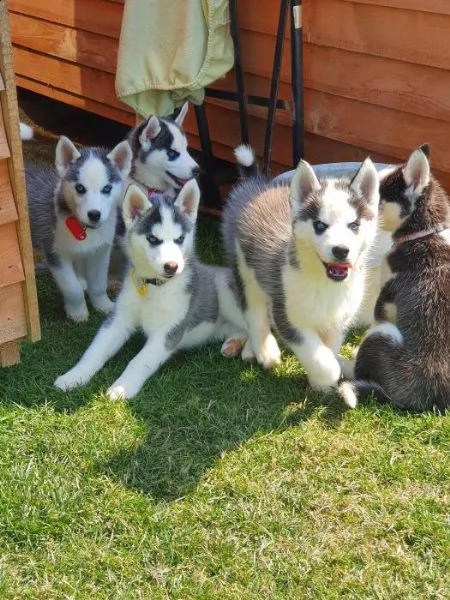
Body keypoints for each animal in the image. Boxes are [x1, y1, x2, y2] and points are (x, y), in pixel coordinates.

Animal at [25, 134, 132, 322]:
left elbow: (99, 284)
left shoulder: (100, 252)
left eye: (107, 188)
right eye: (80, 188)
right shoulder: (56, 254)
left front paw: (103, 305)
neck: (86, 230)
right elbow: (72, 288)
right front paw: (78, 312)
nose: (94, 214)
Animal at [55, 180, 250, 400]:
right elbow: (95, 350)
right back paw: (234, 344)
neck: (153, 287)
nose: (172, 266)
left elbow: (138, 361)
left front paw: (122, 388)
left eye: (180, 239)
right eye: (153, 239)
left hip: (225, 290)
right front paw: (74, 376)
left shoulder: (168, 332)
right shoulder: (118, 320)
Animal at [221, 146, 380, 394]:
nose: (341, 250)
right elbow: (325, 361)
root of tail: (256, 185)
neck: (324, 283)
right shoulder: (289, 317)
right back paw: (265, 350)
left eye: (354, 225)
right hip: (243, 267)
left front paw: (319, 381)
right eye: (320, 225)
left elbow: (329, 350)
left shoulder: (337, 321)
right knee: (253, 310)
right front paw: (325, 379)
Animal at [342, 144, 450, 412]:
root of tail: (429, 398)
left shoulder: (384, 303)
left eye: (374, 198)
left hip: (383, 334)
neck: (426, 233)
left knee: (357, 368)